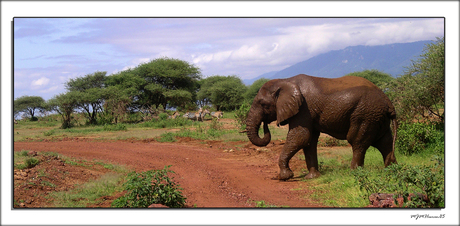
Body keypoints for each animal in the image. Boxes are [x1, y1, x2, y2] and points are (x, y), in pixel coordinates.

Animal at [244, 74, 398, 180]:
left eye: (263, 104)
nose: (265, 124)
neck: (285, 80)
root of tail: (388, 101)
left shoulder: (303, 109)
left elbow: (300, 136)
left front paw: (285, 177)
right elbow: (309, 141)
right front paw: (311, 178)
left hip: (365, 114)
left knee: (357, 142)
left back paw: (354, 173)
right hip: (377, 117)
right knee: (384, 142)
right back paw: (392, 171)